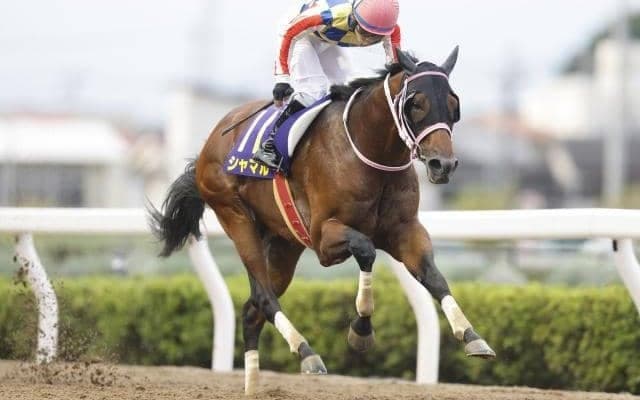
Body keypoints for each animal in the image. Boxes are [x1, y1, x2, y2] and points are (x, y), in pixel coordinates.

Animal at [149, 47, 495, 395]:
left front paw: (472, 336)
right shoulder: (324, 238)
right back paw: (306, 353)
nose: (443, 165)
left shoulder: (404, 230)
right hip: (235, 215)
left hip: (283, 244)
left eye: (453, 104)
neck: (370, 153)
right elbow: (367, 250)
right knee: (264, 297)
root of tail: (210, 143)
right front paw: (361, 330)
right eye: (417, 103)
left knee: (251, 310)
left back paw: (254, 385)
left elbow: (433, 277)